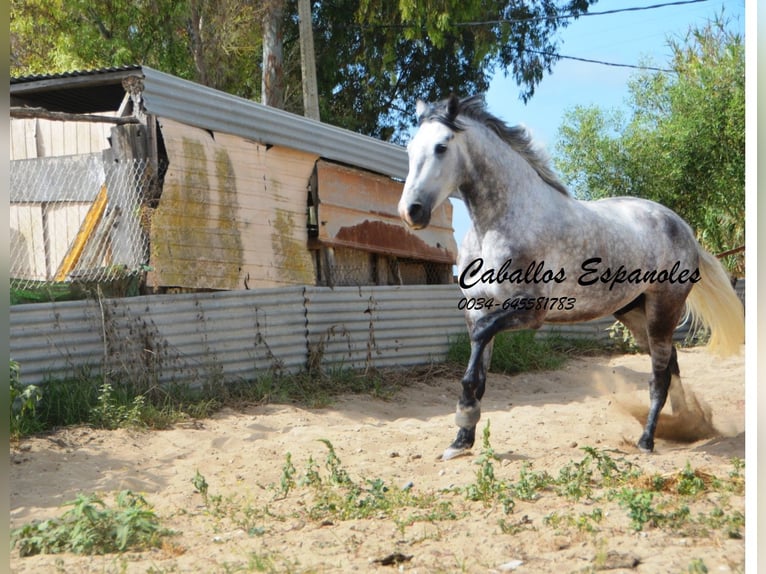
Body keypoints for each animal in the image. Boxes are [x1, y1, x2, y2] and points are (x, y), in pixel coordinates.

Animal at [400, 94, 748, 464]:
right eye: (410, 147)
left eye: (441, 146)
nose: (411, 212)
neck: (499, 225)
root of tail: (683, 228)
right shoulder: (478, 308)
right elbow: (477, 370)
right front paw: (461, 439)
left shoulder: (531, 311)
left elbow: (480, 344)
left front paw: (464, 417)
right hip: (633, 312)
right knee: (671, 364)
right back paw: (685, 424)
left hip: (662, 308)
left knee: (659, 375)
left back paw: (647, 440)